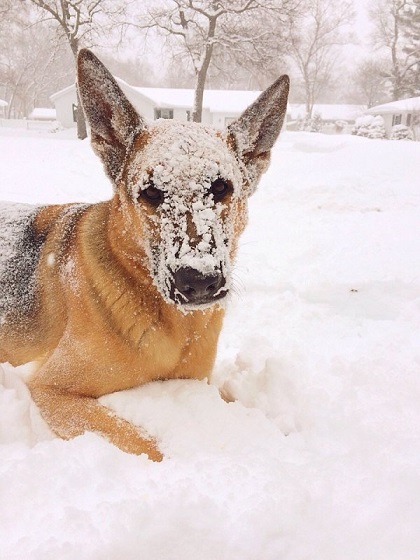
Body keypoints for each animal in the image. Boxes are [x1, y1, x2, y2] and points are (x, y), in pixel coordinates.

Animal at [0, 49, 288, 460]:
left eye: (221, 187)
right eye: (151, 192)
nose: (198, 281)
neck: (175, 324)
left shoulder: (200, 379)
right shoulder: (52, 390)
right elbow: (146, 444)